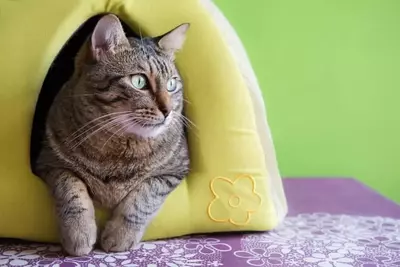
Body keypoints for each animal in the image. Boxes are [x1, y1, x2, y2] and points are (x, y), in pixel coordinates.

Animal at [32, 14, 191, 258]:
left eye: (172, 84)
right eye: (139, 81)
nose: (168, 111)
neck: (118, 145)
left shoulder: (174, 169)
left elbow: (144, 197)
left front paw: (120, 235)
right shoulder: (50, 162)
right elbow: (71, 190)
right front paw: (79, 232)